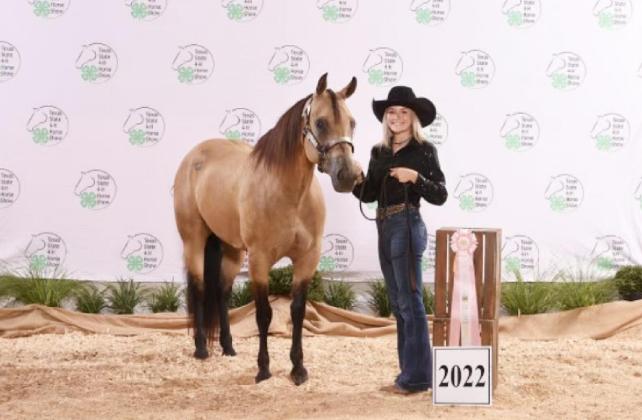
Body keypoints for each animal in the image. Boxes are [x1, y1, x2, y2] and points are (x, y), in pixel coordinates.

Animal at [173, 73, 361, 385]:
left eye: (352, 122)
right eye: (321, 122)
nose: (349, 176)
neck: (290, 196)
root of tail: (195, 156)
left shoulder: (307, 259)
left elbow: (297, 312)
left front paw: (298, 369)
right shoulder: (260, 259)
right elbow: (263, 314)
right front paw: (263, 369)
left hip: (233, 250)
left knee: (222, 292)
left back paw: (228, 347)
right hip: (194, 240)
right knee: (199, 288)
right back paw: (201, 349)